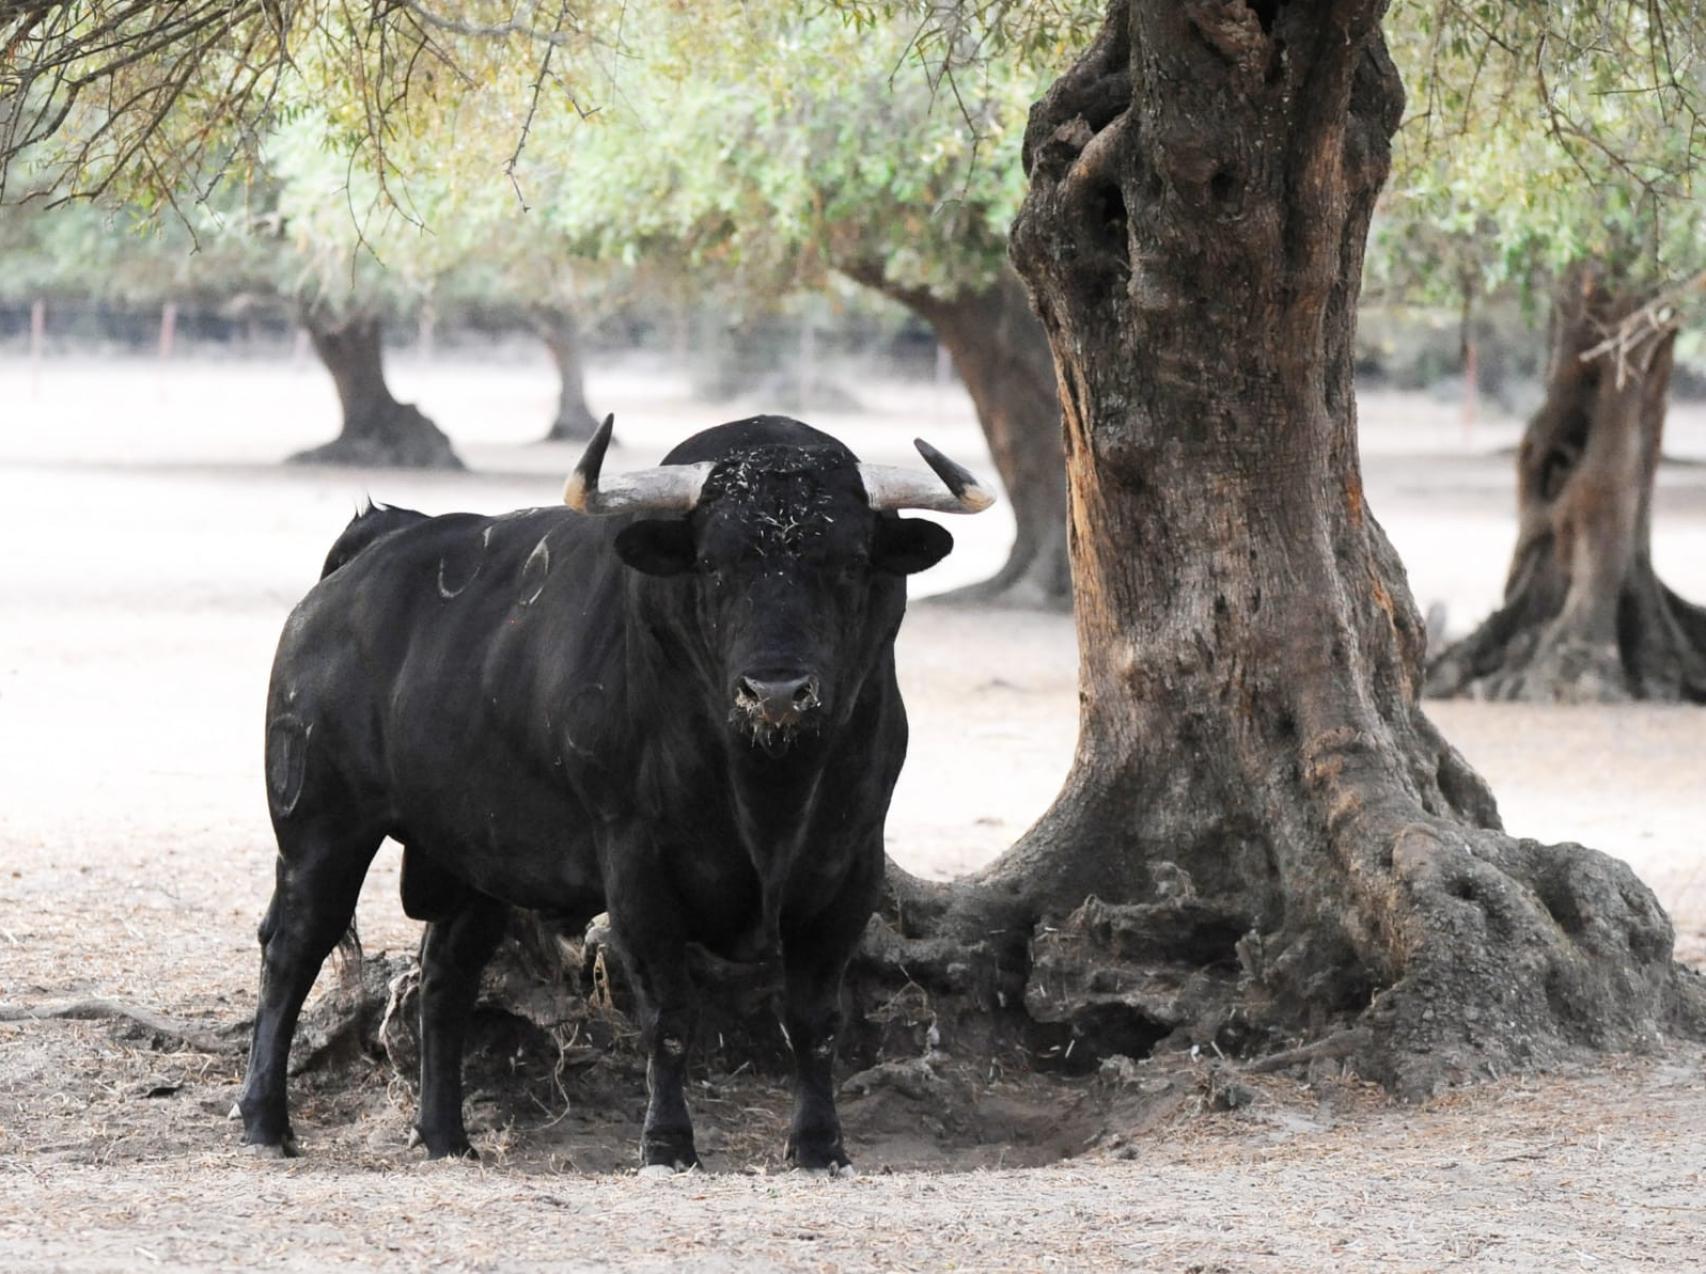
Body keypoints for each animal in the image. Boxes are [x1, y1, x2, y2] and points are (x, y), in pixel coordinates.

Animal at [233, 417, 996, 1173]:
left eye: (849, 561)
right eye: (713, 564)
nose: (777, 692)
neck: (768, 792)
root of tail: (372, 549)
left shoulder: (851, 865)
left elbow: (814, 1018)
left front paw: (819, 1145)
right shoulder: (636, 863)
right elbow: (668, 1013)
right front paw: (667, 1143)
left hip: (474, 861)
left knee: (445, 978)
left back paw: (446, 1136)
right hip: (321, 832)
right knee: (292, 950)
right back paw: (266, 1120)